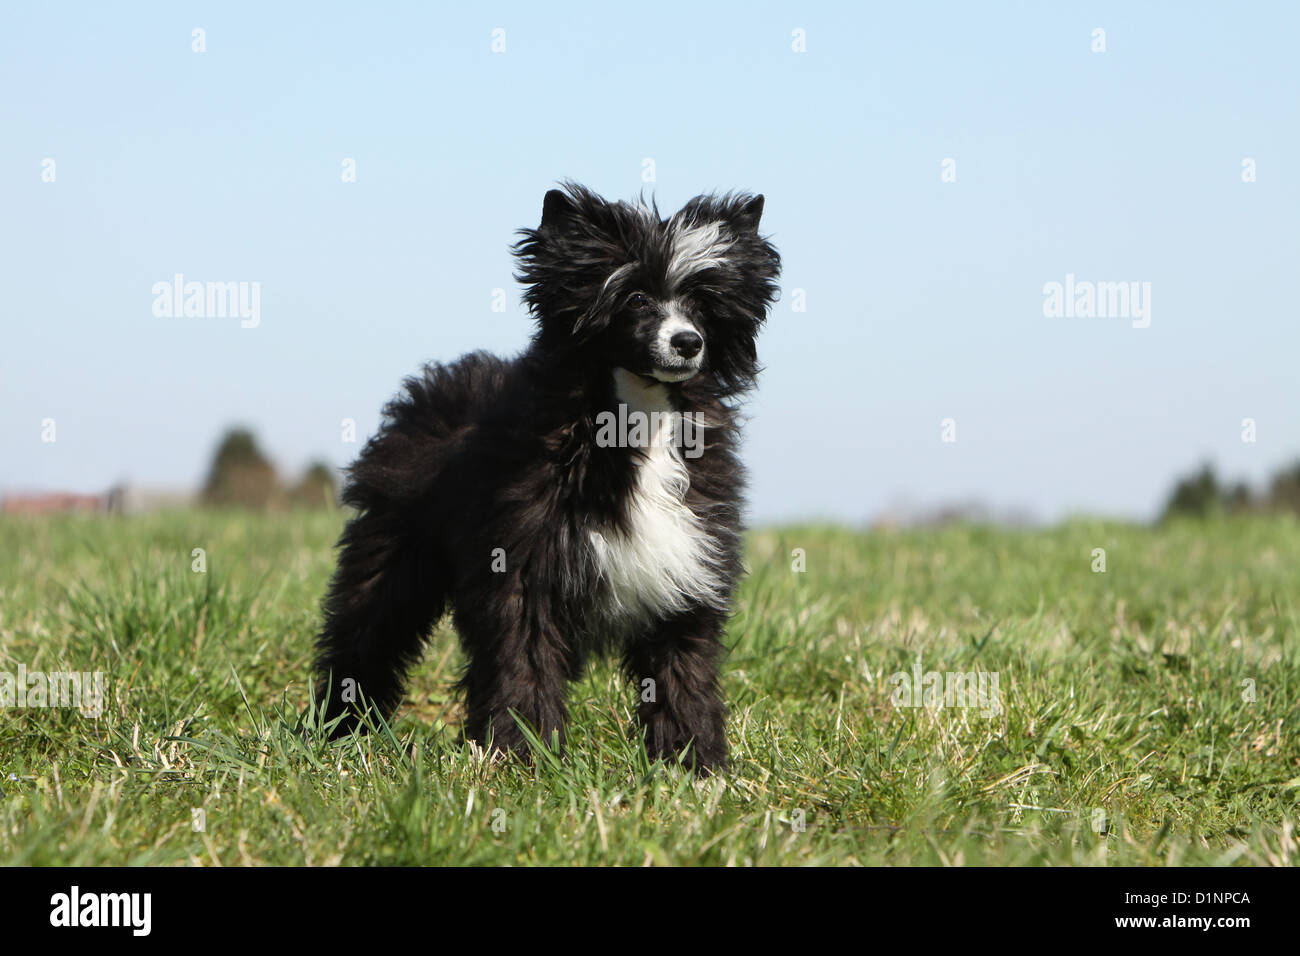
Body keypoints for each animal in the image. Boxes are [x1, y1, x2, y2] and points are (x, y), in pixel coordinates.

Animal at [312, 183, 780, 775]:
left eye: (700, 303)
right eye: (634, 298)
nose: (688, 342)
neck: (638, 417)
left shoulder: (685, 571)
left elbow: (683, 671)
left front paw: (693, 763)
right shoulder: (525, 568)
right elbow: (525, 660)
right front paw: (526, 757)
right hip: (392, 555)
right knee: (366, 631)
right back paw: (335, 728)